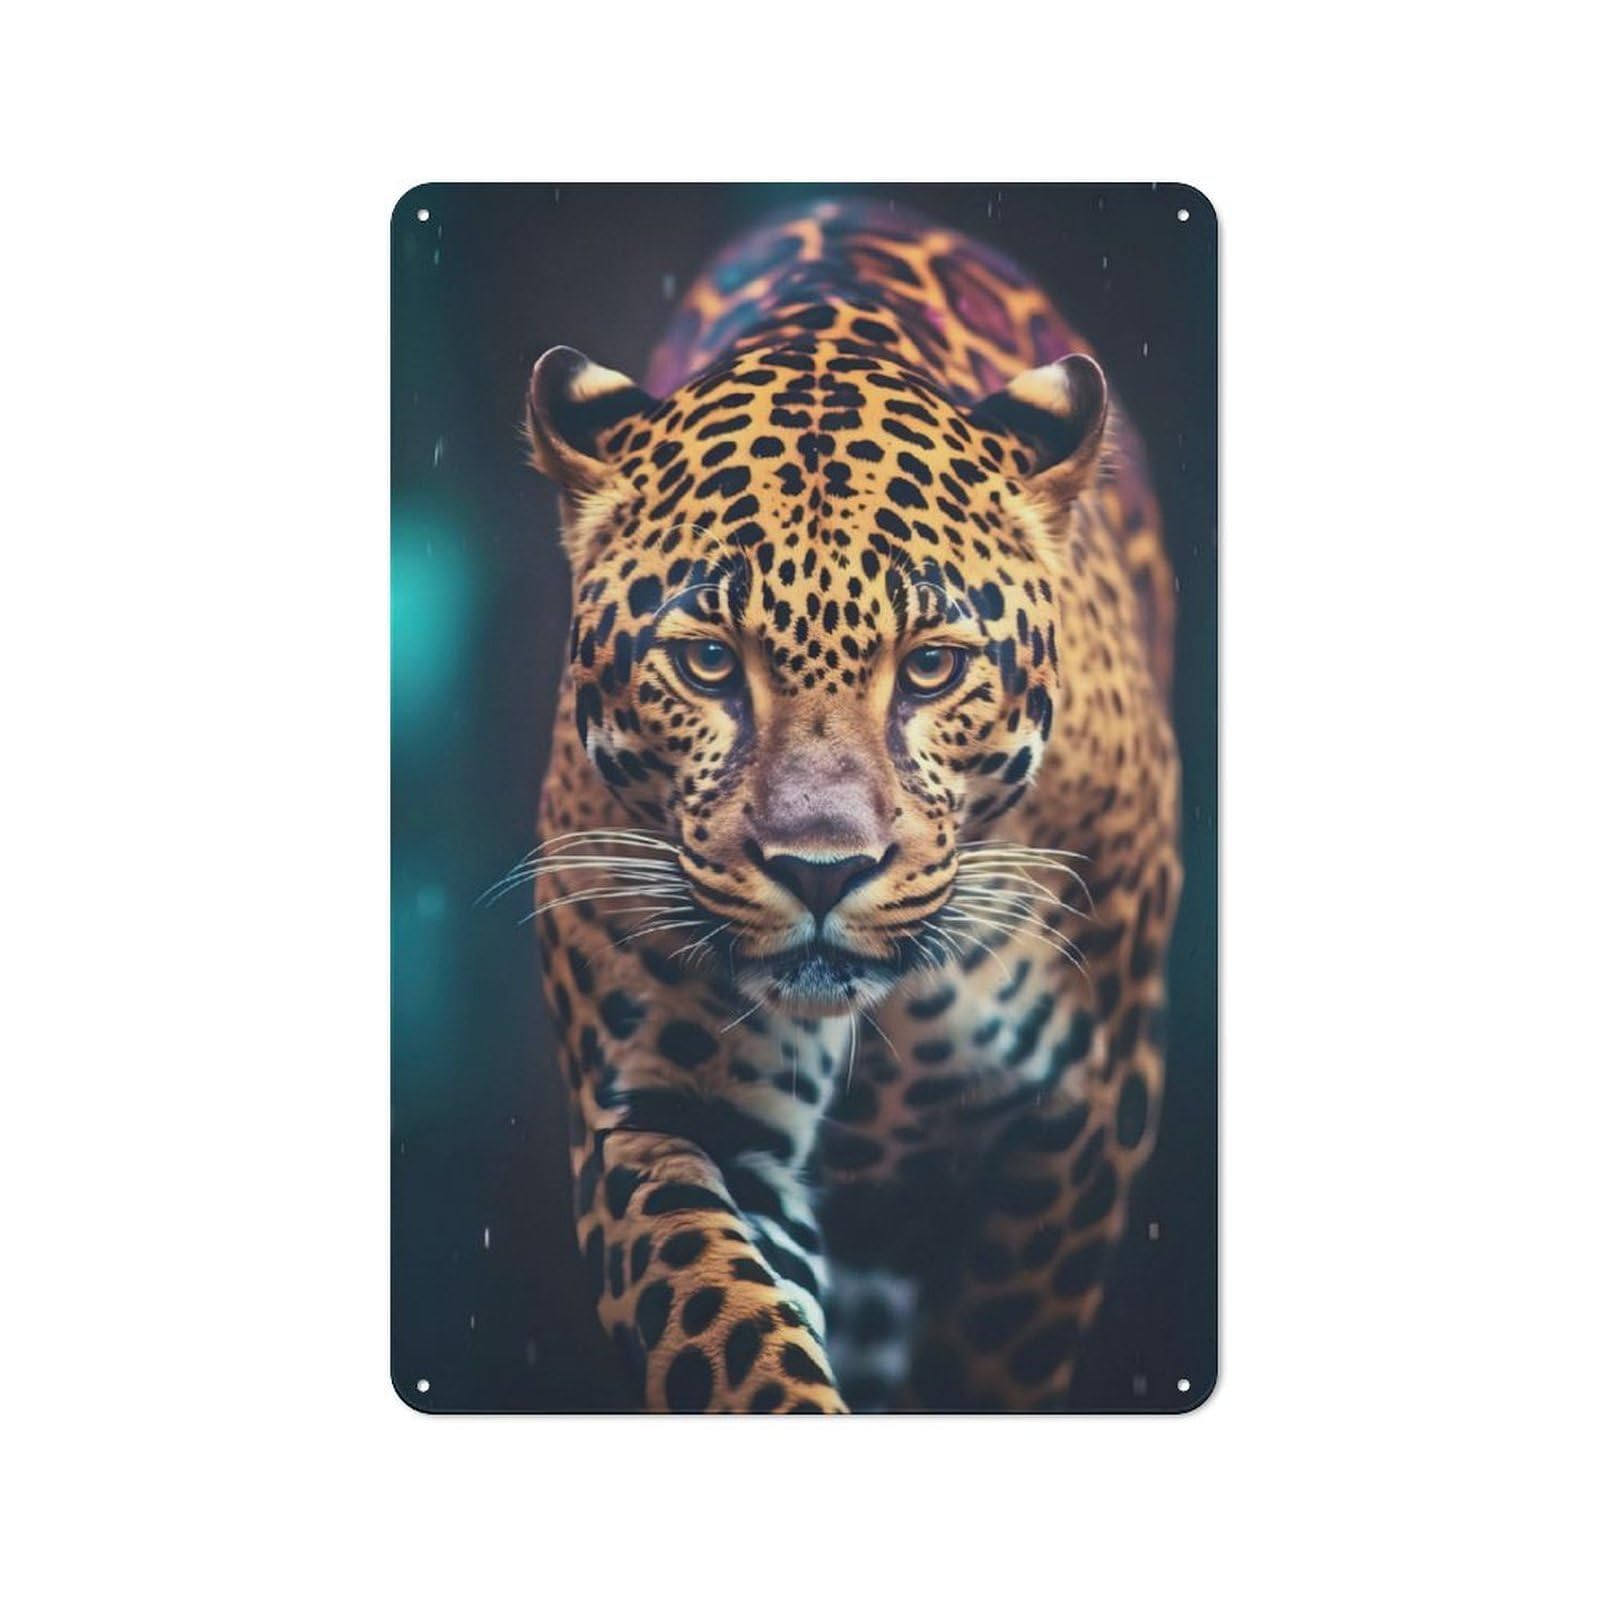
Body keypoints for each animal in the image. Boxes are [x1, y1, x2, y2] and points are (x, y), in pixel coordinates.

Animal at [513, 197, 1180, 1413]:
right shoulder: (664, 1114)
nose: (820, 872)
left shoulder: (1084, 1117)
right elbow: (739, 1342)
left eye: (930, 668)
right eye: (708, 662)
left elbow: (995, 1367)